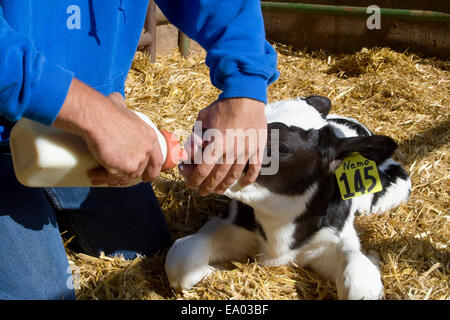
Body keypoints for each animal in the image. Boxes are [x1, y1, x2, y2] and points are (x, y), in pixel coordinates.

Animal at [166, 95, 412, 300]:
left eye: (281, 147)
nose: (204, 131)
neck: (279, 235)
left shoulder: (336, 238)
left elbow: (361, 285)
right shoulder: (232, 224)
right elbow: (182, 260)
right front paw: (217, 270)